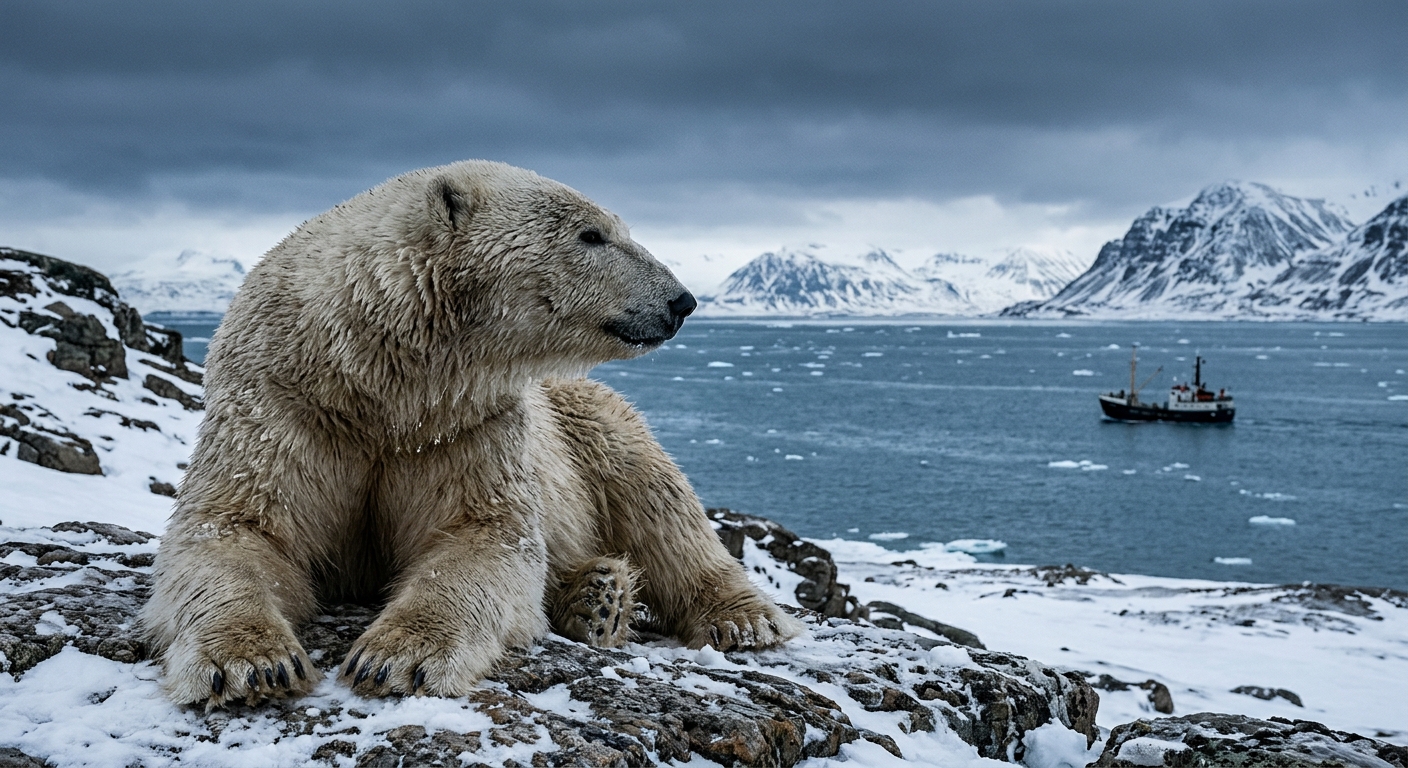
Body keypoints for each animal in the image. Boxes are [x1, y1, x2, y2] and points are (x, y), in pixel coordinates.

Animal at [141, 160, 803, 708]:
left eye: (615, 228)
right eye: (592, 235)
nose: (682, 301)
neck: (374, 379)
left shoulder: (466, 424)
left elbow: (482, 535)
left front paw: (397, 657)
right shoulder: (285, 407)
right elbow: (236, 527)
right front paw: (250, 662)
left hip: (586, 417)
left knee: (659, 502)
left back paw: (734, 618)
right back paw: (596, 595)